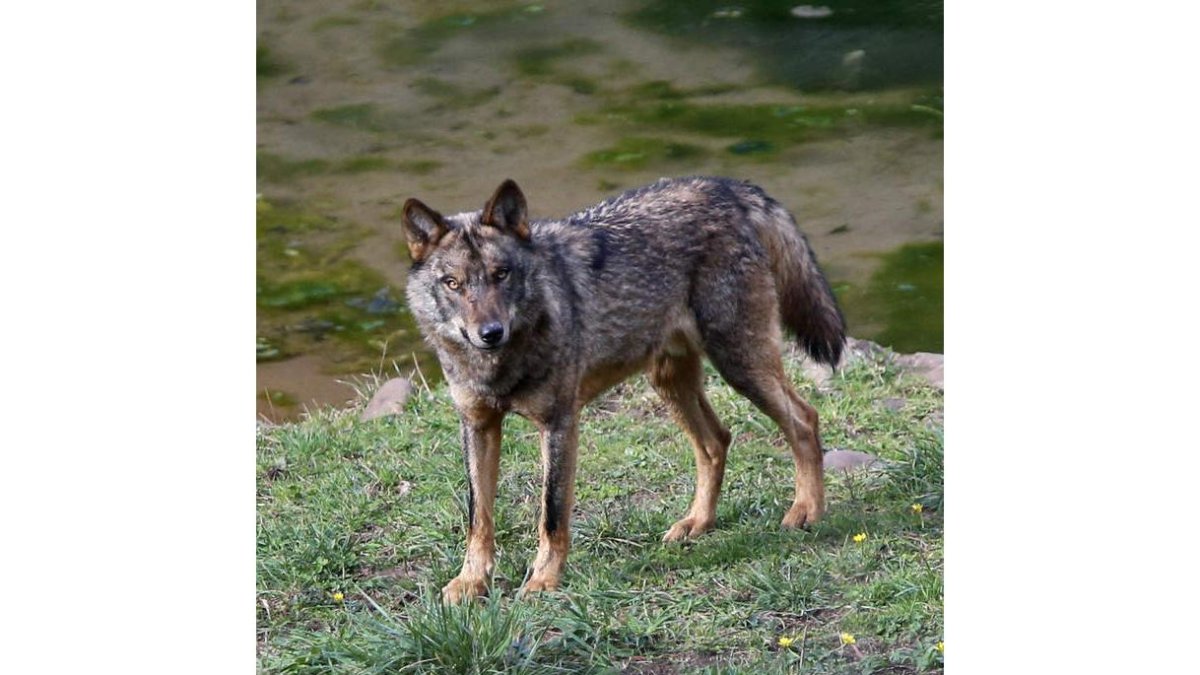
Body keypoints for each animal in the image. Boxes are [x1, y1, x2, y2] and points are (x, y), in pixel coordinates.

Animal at [401, 176, 846, 602]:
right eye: (453, 283)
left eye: (501, 274)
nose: (491, 333)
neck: (501, 363)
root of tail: (729, 187)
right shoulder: (478, 426)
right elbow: (478, 517)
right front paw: (470, 582)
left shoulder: (559, 424)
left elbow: (551, 513)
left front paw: (544, 580)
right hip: (670, 381)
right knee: (716, 441)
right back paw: (698, 522)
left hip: (740, 366)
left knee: (804, 419)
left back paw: (807, 511)